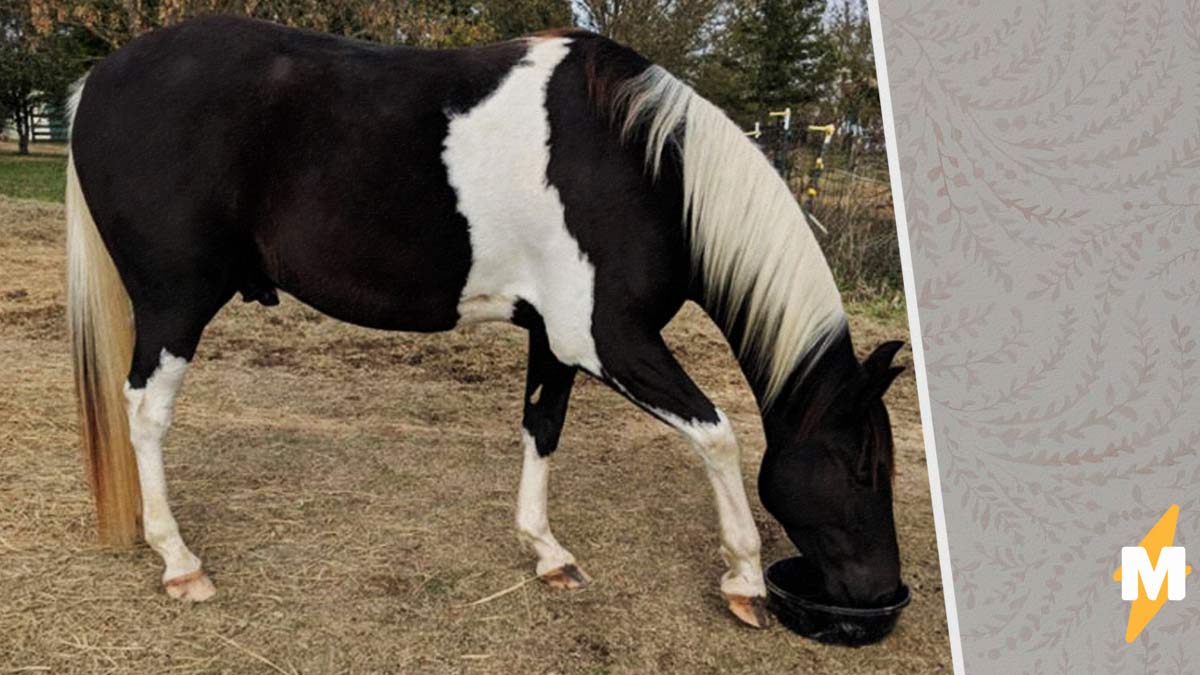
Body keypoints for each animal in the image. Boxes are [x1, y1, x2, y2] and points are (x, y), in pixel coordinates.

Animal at [65, 15, 902, 629]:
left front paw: (547, 552)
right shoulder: (610, 340)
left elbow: (542, 429)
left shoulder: (556, 340)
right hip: (174, 304)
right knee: (146, 412)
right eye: (862, 465)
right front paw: (746, 579)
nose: (878, 592)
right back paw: (180, 562)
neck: (642, 166)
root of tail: (96, 80)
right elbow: (719, 434)